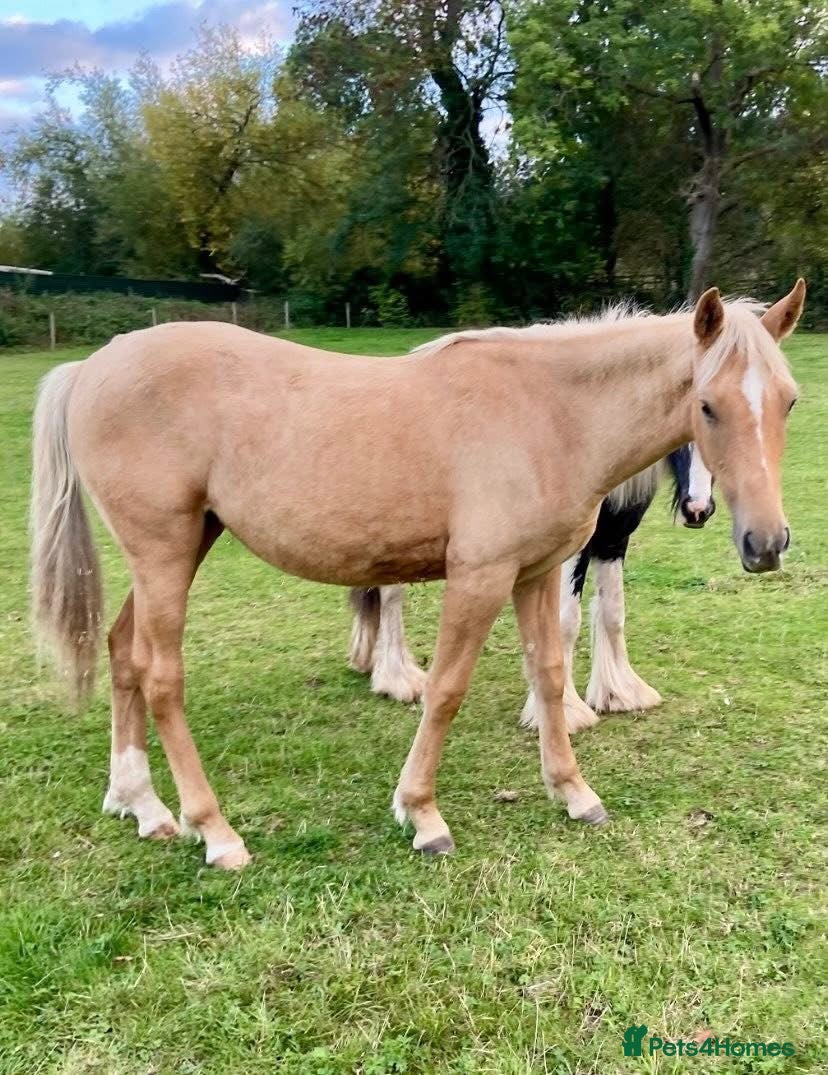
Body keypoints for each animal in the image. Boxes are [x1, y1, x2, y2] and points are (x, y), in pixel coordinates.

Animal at [347, 446, 716, 732]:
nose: (698, 509)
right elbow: (565, 621)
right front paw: (564, 710)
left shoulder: (617, 525)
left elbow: (613, 610)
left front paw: (619, 692)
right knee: (390, 591)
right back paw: (397, 678)